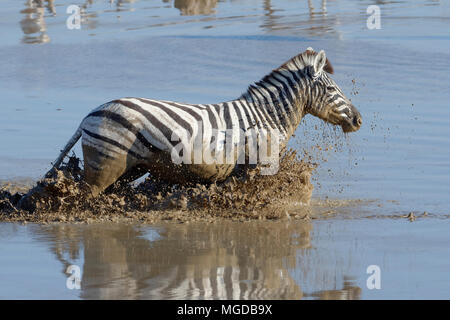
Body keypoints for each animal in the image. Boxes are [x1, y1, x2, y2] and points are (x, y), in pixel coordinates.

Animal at [42, 47, 360, 198]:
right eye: (331, 89)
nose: (358, 120)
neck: (266, 117)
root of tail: (91, 113)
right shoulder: (256, 166)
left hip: (129, 168)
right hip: (106, 166)